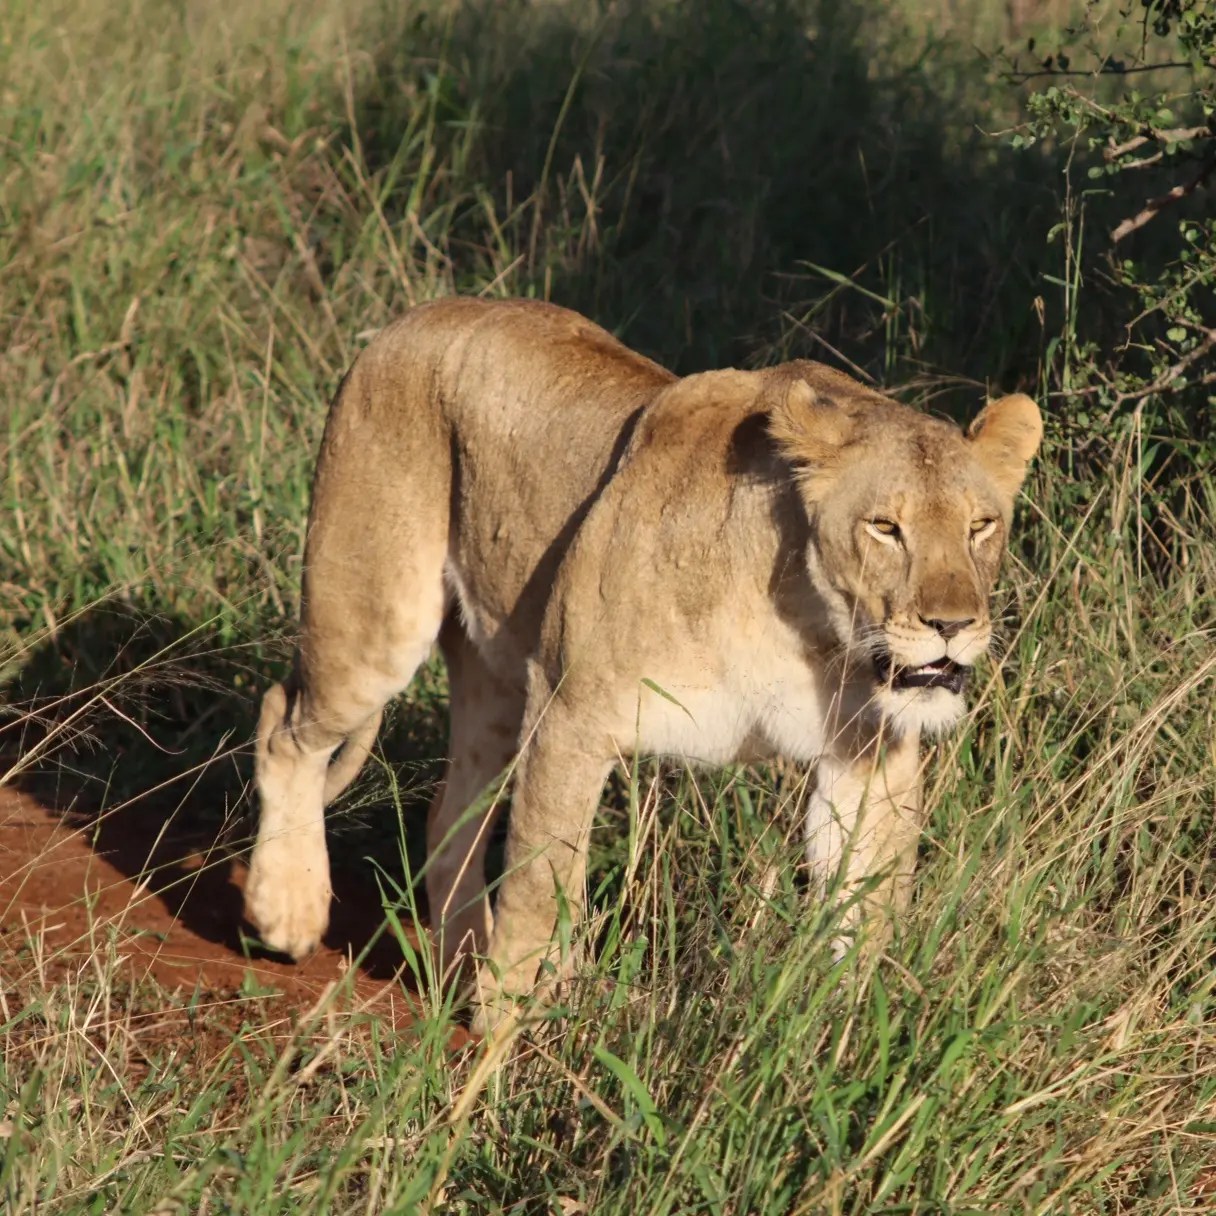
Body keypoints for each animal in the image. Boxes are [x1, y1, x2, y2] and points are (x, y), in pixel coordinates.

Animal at [244, 297, 1041, 1033]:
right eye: (884, 527)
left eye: (981, 526)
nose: (952, 626)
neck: (810, 626)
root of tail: (418, 314)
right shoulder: (572, 715)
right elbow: (539, 889)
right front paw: (506, 1041)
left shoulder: (871, 757)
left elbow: (866, 913)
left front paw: (843, 1040)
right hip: (375, 621)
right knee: (285, 724)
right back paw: (287, 910)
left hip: (495, 681)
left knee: (451, 813)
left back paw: (458, 968)